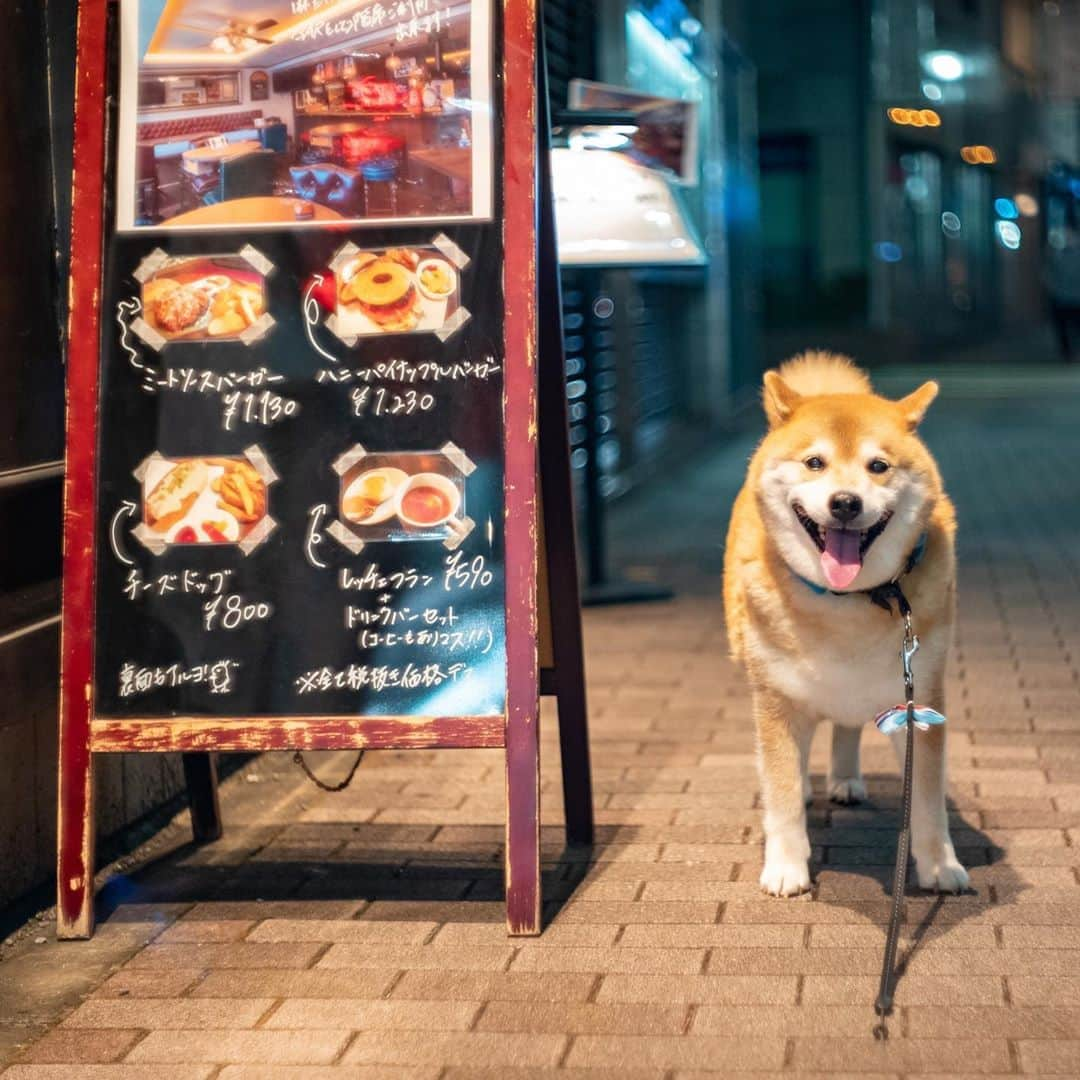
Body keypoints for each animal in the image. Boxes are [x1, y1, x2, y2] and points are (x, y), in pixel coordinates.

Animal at [725, 352, 972, 894]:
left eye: (877, 466)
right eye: (814, 462)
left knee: (844, 728)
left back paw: (844, 779)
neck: (846, 602)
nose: (844, 502)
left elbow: (927, 803)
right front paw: (786, 866)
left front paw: (939, 866)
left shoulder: (918, 701)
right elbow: (780, 793)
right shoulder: (775, 699)